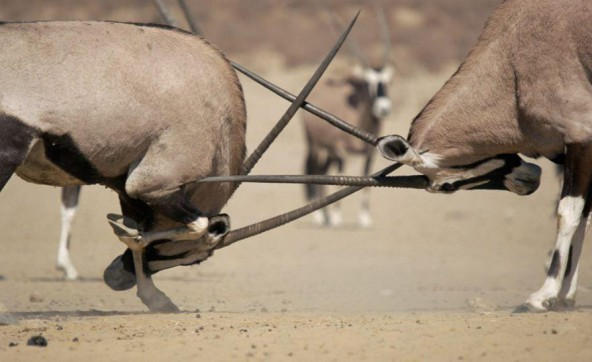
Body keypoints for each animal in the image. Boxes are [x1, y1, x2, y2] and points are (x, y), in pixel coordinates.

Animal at [306, 7, 394, 226]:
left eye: (388, 81)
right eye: (367, 83)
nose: (383, 109)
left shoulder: (369, 154)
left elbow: (367, 179)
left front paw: (364, 219)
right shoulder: (341, 152)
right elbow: (340, 177)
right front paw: (337, 217)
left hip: (328, 152)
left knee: (322, 171)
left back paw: (325, 215)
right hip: (317, 146)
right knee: (314, 169)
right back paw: (319, 217)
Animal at [374, 0, 592, 312]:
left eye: (445, 186)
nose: (529, 180)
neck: (512, 62)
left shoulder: (580, 136)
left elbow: (568, 212)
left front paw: (543, 296)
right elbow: (584, 216)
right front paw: (565, 296)